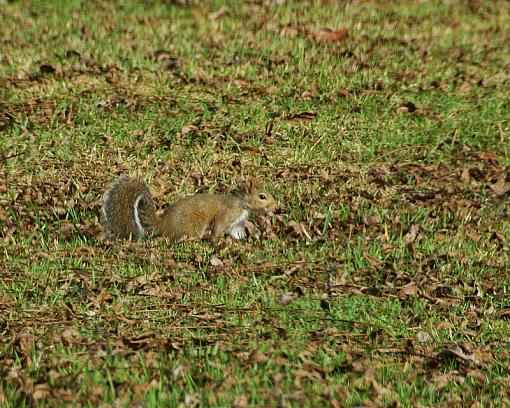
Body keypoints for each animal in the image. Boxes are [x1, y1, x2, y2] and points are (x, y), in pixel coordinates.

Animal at [98, 175, 276, 241]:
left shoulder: (236, 224)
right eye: (262, 196)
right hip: (195, 224)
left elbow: (236, 233)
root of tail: (164, 224)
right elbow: (218, 227)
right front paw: (216, 242)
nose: (275, 206)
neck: (242, 205)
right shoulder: (226, 214)